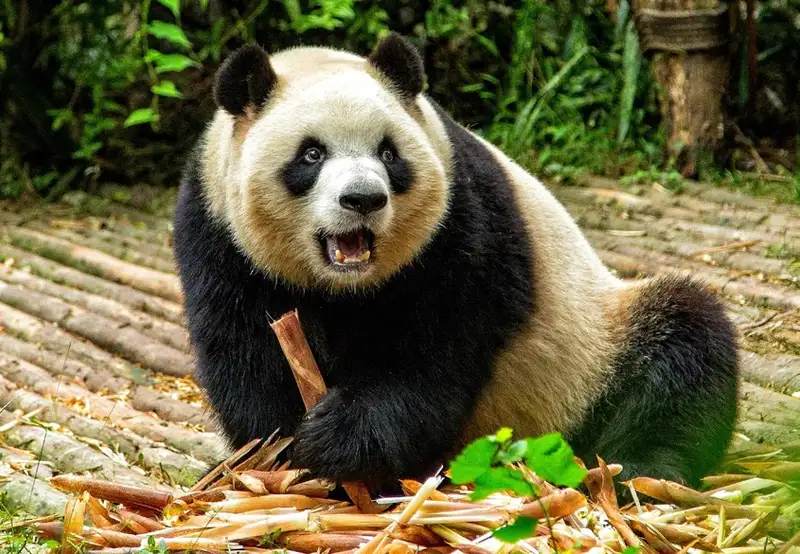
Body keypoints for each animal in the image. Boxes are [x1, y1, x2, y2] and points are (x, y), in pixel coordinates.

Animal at [172, 33, 740, 492]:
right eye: (311, 154)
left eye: (388, 154)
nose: (363, 199)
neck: (345, 286)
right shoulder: (218, 234)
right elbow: (245, 348)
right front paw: (277, 455)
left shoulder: (461, 225)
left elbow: (433, 353)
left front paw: (339, 440)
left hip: (593, 352)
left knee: (683, 349)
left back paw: (645, 471)